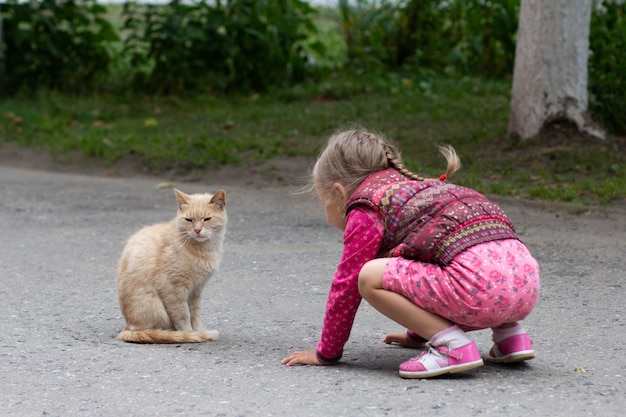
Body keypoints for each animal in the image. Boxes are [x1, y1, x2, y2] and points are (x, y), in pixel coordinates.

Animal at [116, 187, 225, 342]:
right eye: (189, 220)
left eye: (207, 219)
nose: (197, 230)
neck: (204, 250)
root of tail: (127, 326)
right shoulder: (173, 288)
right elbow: (182, 315)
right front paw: (189, 334)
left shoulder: (196, 289)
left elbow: (195, 313)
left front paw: (197, 330)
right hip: (154, 306)